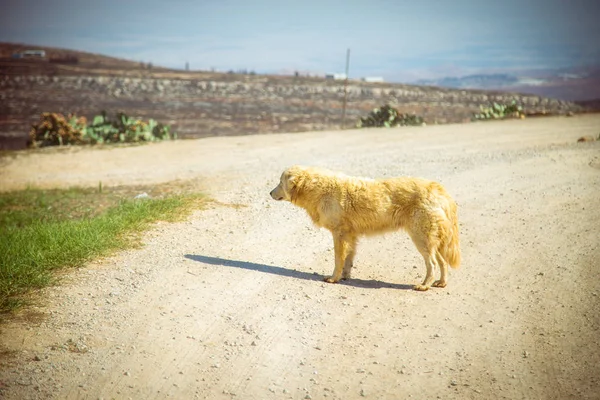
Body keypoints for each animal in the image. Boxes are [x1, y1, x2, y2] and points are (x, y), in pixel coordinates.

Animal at [270, 166, 462, 290]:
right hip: (430, 240)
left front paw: (333, 278)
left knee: (433, 264)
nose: (269, 193)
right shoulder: (350, 235)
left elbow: (338, 259)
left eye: (279, 182)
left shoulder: (339, 233)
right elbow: (348, 259)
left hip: (421, 237)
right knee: (442, 262)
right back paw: (441, 283)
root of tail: (440, 190)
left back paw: (424, 285)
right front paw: (345, 277)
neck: (318, 189)